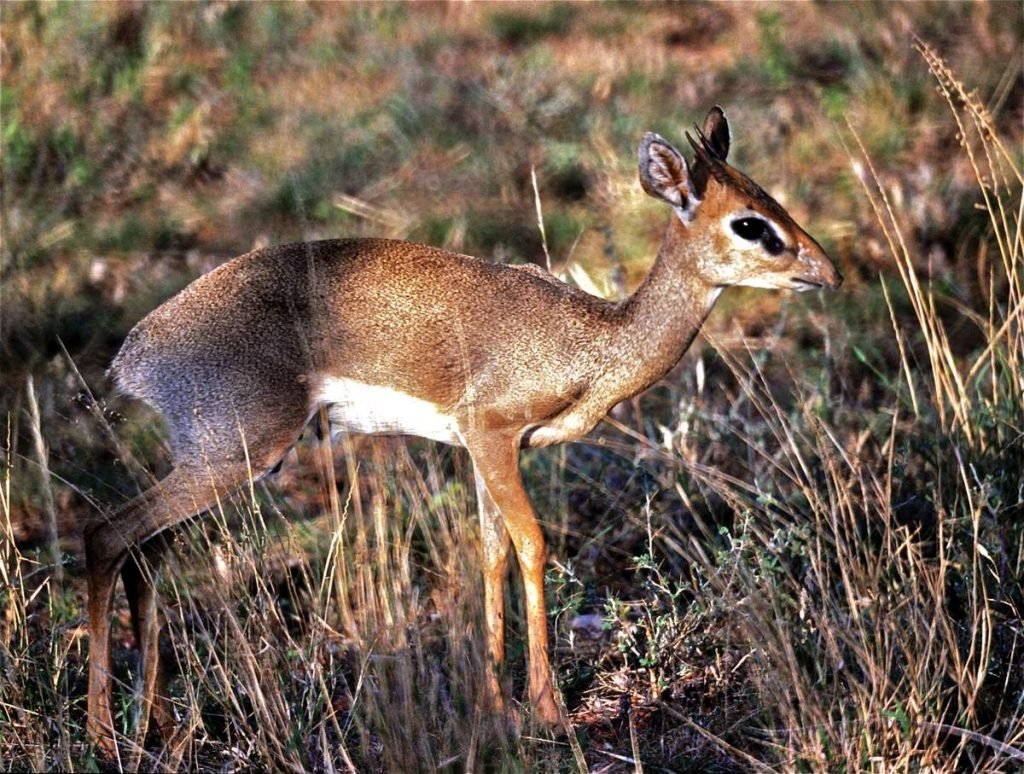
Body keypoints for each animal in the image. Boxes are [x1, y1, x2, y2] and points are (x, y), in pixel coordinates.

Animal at [86, 105, 839, 753]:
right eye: (750, 224)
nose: (825, 271)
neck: (592, 339)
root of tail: (134, 354)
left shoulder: (485, 454)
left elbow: (491, 553)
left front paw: (495, 704)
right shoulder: (492, 436)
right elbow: (533, 545)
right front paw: (547, 709)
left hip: (215, 463)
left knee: (146, 555)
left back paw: (155, 725)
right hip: (234, 457)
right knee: (108, 534)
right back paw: (101, 735)